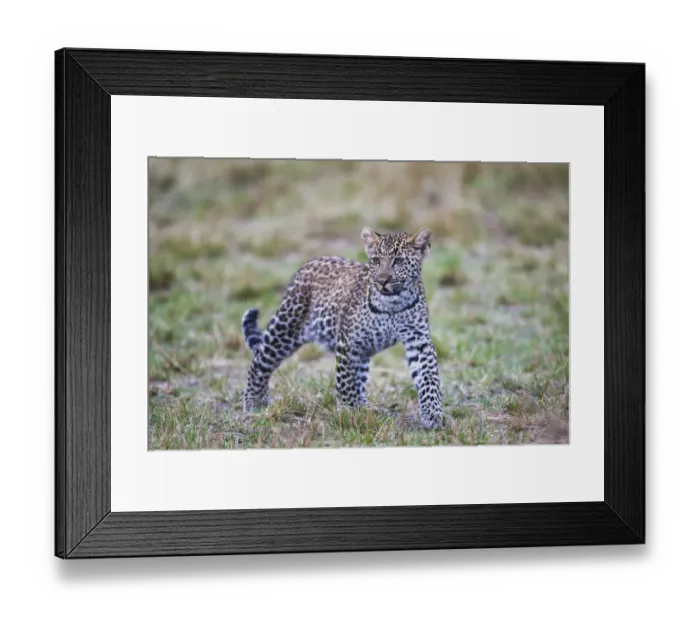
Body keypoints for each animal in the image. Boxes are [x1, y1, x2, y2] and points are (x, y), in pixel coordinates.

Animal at [241, 227, 444, 430]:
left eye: (399, 261)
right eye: (376, 260)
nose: (382, 280)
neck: (393, 302)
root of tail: (308, 264)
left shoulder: (418, 340)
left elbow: (429, 377)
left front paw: (434, 414)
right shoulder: (348, 343)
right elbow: (346, 382)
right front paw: (351, 412)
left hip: (362, 351)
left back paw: (369, 407)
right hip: (286, 326)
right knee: (259, 361)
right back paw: (254, 403)